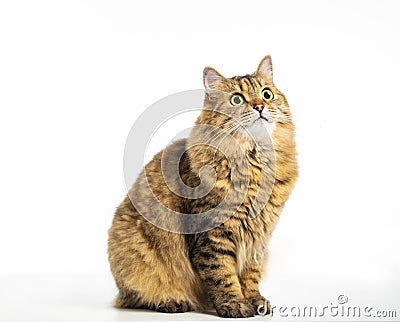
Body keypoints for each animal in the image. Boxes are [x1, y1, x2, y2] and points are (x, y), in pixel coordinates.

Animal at [108, 54, 298, 316]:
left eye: (267, 94)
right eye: (237, 99)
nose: (259, 106)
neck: (254, 162)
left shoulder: (259, 237)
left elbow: (251, 275)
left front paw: (254, 301)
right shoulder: (213, 234)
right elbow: (222, 274)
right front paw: (234, 304)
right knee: (137, 296)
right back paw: (172, 300)